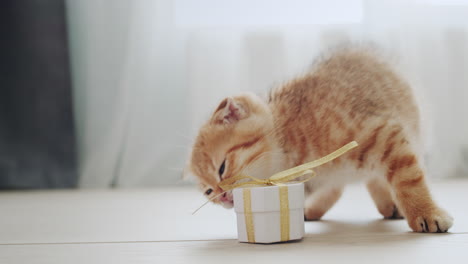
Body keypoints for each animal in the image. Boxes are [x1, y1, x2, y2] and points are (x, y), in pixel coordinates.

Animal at [186, 48, 454, 233]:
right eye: (208, 191)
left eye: (222, 168)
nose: (221, 196)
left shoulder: (384, 135)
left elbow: (409, 180)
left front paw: (426, 213)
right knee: (348, 184)